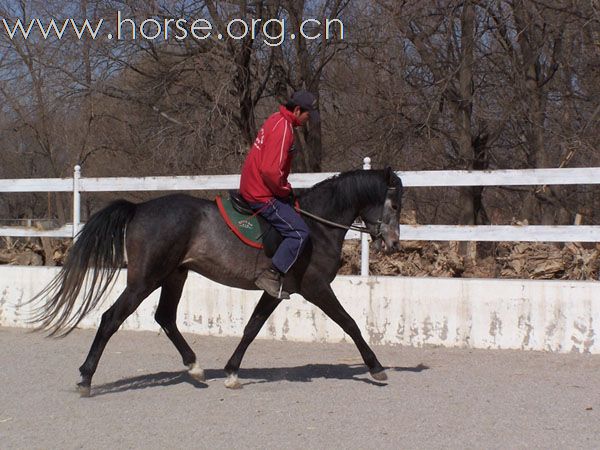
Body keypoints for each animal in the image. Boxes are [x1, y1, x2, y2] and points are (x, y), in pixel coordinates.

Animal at [29, 167, 404, 396]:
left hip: (174, 275)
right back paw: (86, 378)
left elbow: (252, 327)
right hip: (145, 279)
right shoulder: (315, 288)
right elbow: (350, 323)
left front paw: (232, 372)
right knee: (111, 319)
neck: (317, 225)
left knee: (165, 318)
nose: (393, 243)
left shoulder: (276, 291)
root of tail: (139, 209)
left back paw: (195, 368)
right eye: (395, 204)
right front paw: (376, 368)